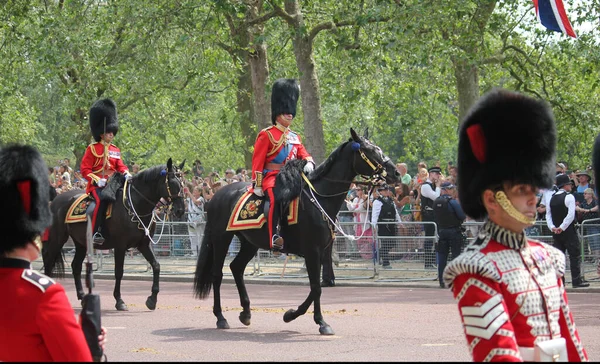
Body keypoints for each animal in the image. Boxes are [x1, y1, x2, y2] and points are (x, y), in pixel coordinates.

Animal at [42, 159, 185, 310]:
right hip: (57, 238)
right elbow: (119, 271)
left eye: (183, 184)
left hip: (81, 242)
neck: (136, 205)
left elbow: (156, 265)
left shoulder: (143, 244)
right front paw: (119, 300)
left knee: (75, 266)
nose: (180, 210)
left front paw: (152, 300)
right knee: (49, 260)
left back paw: (82, 297)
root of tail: (55, 200)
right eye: (173, 183)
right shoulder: (120, 246)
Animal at [192, 129, 398, 336]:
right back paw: (220, 317)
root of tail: (217, 196)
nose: (395, 173)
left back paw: (246, 313)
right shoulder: (312, 251)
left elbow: (321, 285)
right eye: (370, 151)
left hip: (250, 243)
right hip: (221, 238)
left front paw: (297, 316)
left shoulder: (322, 251)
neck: (321, 199)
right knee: (217, 274)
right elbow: (316, 287)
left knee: (236, 268)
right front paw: (313, 320)